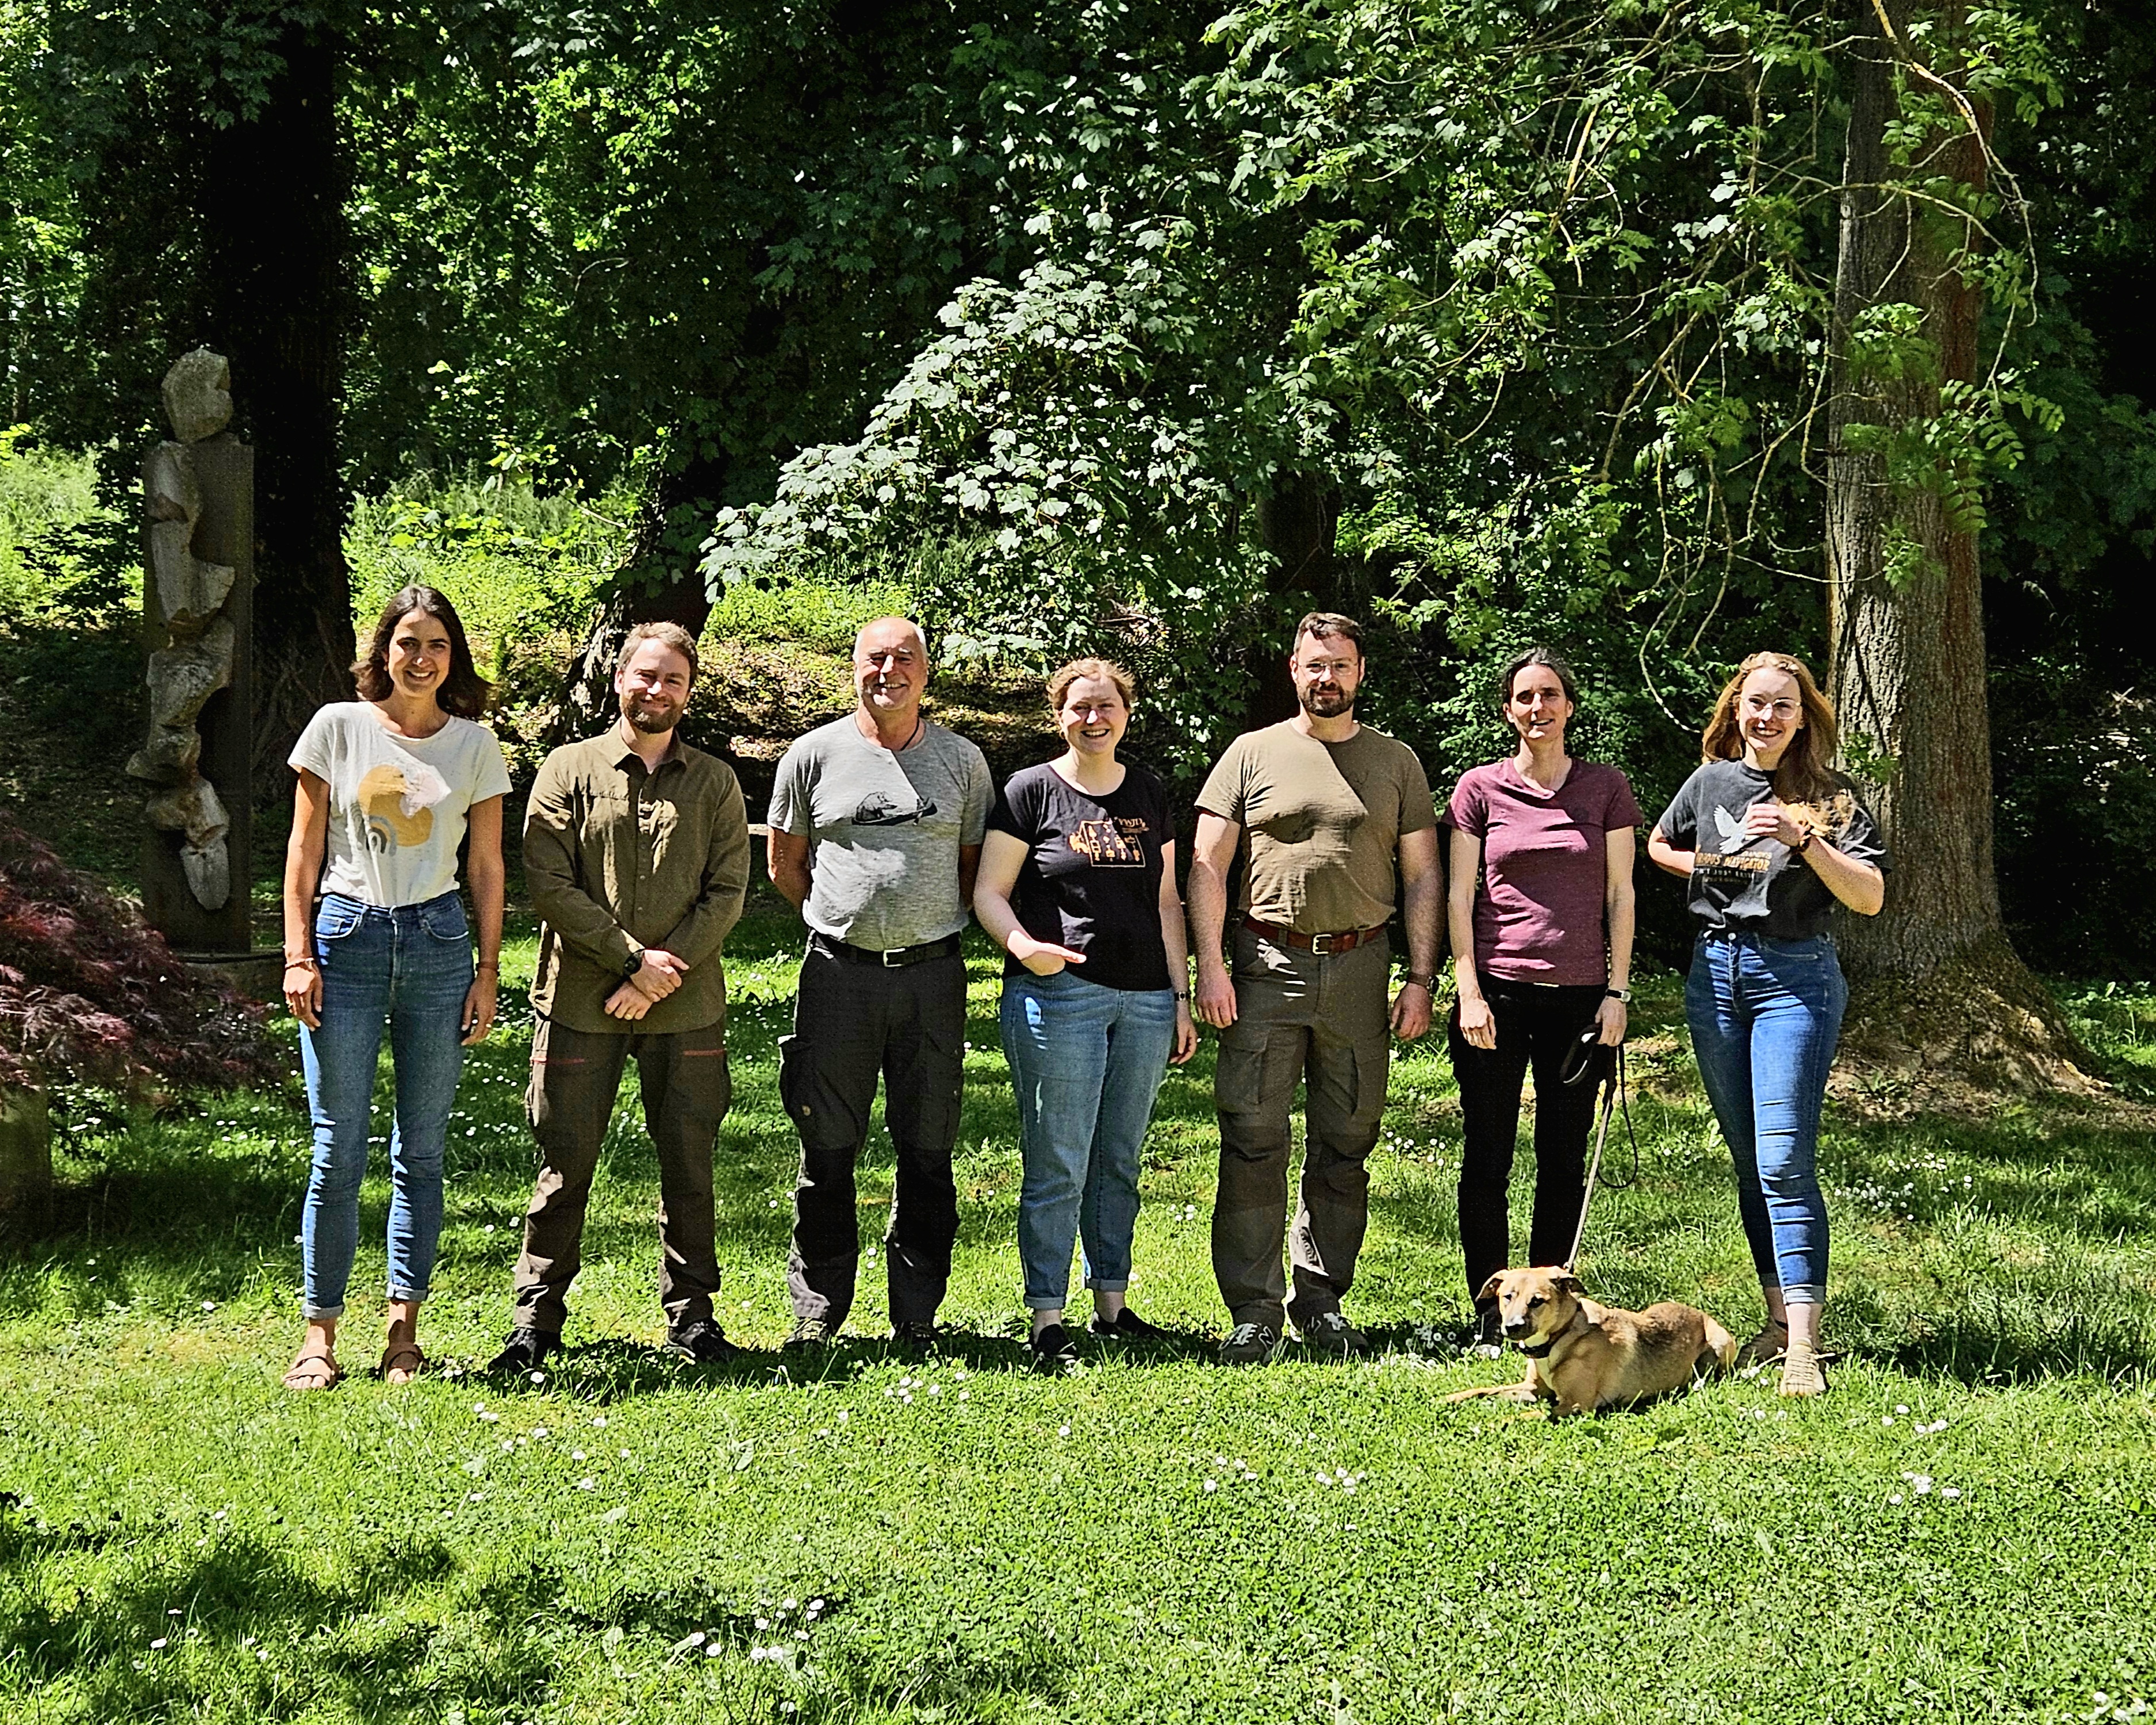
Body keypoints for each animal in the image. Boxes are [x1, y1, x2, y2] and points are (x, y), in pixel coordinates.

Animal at [1440, 1268, 1742, 1414]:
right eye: (1507, 1296)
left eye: (1537, 1301)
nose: (1511, 1328)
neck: (1560, 1339)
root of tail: (1700, 1314)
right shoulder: (1533, 1389)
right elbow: (1483, 1390)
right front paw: (1450, 1397)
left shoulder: (1575, 1405)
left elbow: (1527, 1416)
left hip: (1719, 1343)